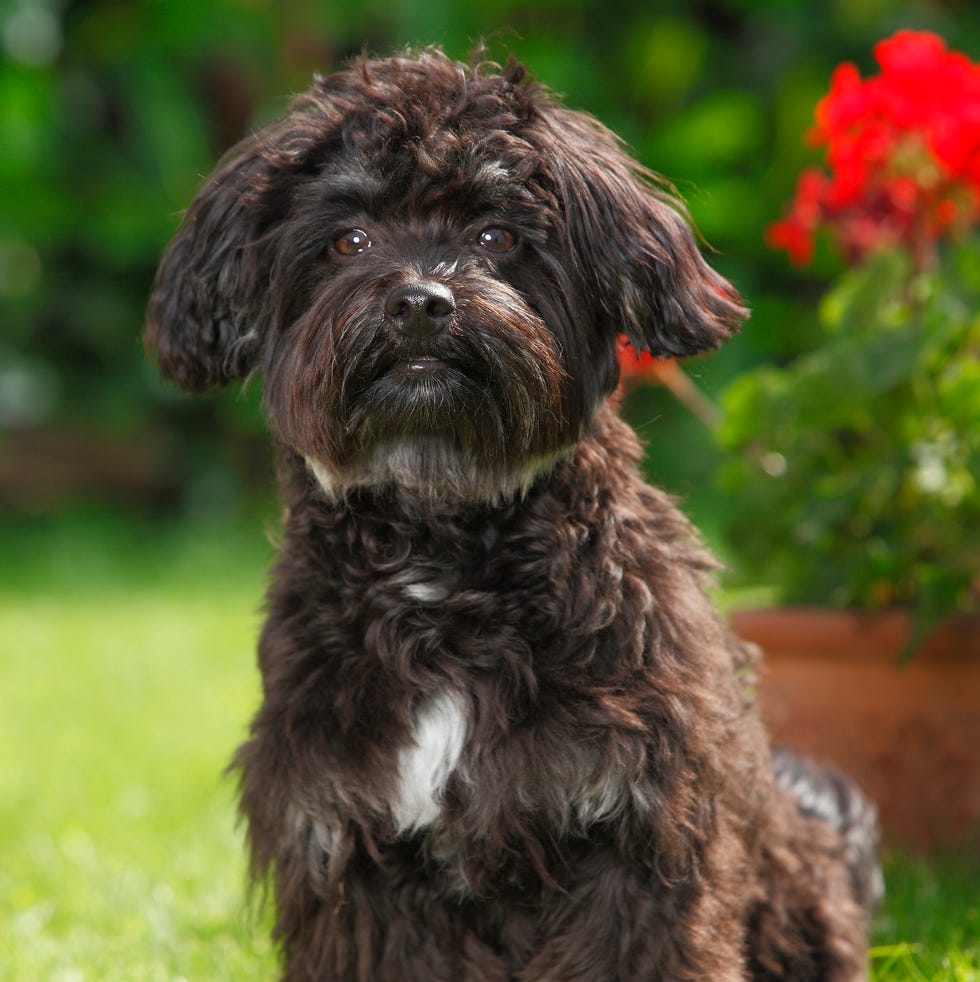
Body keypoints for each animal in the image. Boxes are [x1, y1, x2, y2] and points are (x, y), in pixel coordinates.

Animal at [147, 48, 880, 982]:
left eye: (496, 236)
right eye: (349, 241)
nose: (420, 301)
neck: (444, 556)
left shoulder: (637, 833)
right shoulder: (356, 852)